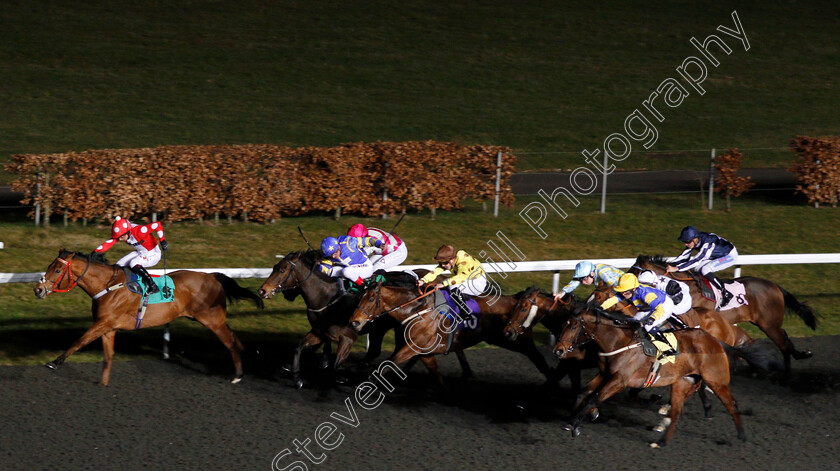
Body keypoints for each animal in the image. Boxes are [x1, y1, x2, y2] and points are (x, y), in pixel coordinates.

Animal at [33, 249, 262, 386]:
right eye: (49, 266)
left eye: (58, 270)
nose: (38, 290)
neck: (108, 286)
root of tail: (212, 276)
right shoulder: (109, 327)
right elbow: (108, 356)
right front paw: (103, 384)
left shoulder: (103, 323)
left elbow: (79, 341)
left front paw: (54, 362)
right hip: (213, 319)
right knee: (234, 337)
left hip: (212, 319)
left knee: (230, 341)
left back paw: (238, 375)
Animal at [256, 251, 472, 390]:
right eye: (274, 267)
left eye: (282, 270)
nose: (262, 291)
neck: (329, 298)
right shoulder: (319, 332)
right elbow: (298, 347)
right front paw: (297, 378)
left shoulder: (348, 337)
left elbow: (336, 365)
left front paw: (341, 376)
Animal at [344, 282, 556, 386]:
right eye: (360, 297)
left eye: (371, 298)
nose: (354, 322)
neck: (417, 310)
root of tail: (518, 299)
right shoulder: (424, 353)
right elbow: (437, 377)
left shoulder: (411, 348)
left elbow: (386, 365)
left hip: (515, 338)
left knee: (538, 358)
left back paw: (551, 383)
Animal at [556, 308, 748, 448]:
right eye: (564, 324)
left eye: (573, 327)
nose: (558, 350)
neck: (618, 343)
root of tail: (716, 341)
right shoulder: (605, 374)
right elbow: (583, 392)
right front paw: (572, 421)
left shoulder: (620, 380)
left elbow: (593, 398)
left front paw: (575, 424)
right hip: (682, 383)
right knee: (677, 413)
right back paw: (661, 442)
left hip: (717, 381)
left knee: (732, 404)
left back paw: (742, 436)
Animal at [632, 254, 816, 372]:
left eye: (635, 272)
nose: (628, 291)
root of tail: (776, 286)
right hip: (769, 324)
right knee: (784, 337)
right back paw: (799, 356)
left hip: (769, 325)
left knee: (782, 344)